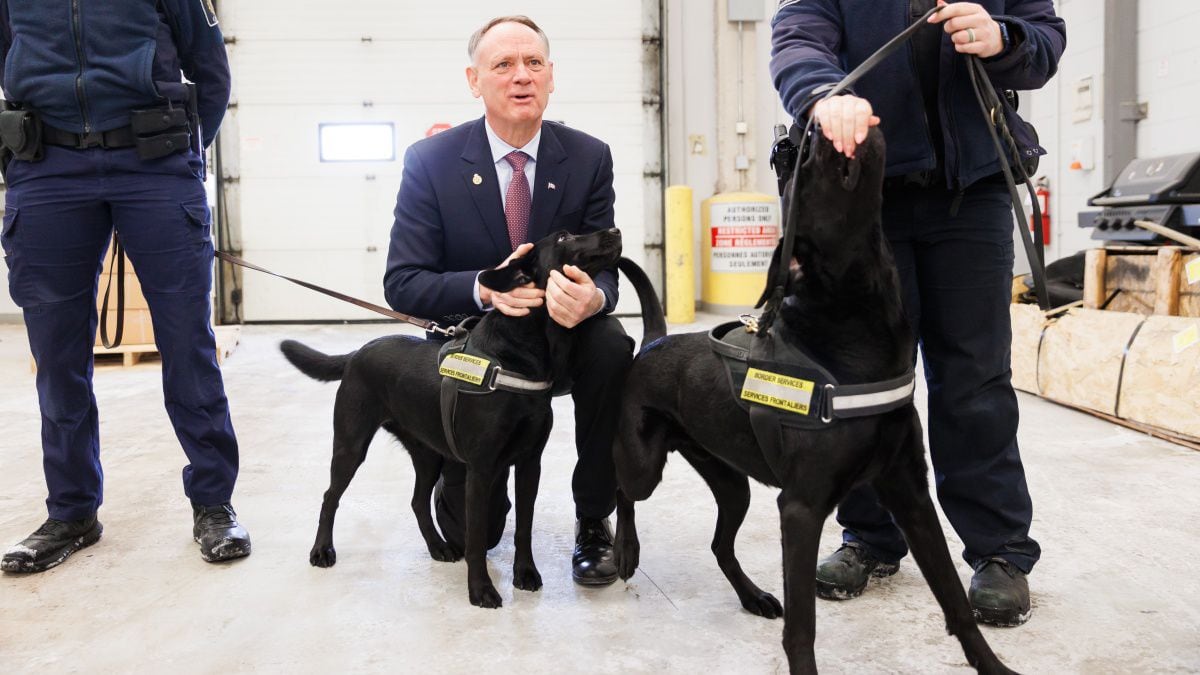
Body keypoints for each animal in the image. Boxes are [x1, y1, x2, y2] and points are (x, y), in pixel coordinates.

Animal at [277, 228, 628, 607]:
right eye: (563, 237)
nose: (615, 230)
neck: (521, 352)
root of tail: (356, 353)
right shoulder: (482, 468)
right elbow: (476, 536)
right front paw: (481, 590)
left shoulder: (529, 463)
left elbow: (524, 526)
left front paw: (525, 574)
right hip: (351, 444)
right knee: (331, 496)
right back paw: (322, 551)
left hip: (428, 453)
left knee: (418, 501)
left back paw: (438, 547)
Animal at [614, 130, 1017, 672]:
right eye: (806, 169)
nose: (814, 130)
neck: (854, 339)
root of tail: (655, 340)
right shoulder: (801, 509)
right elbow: (803, 629)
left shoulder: (911, 493)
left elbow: (954, 597)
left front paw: (993, 665)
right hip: (644, 465)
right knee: (622, 492)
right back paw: (624, 551)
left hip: (732, 482)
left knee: (720, 545)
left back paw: (753, 597)